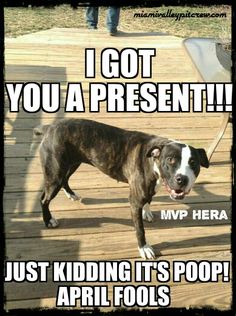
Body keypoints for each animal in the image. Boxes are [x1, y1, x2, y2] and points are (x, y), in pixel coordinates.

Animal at [34, 118, 209, 260]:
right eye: (171, 160)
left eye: (194, 163)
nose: (182, 179)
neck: (154, 159)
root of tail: (50, 127)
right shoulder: (135, 201)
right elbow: (140, 229)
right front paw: (144, 248)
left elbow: (149, 200)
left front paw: (147, 212)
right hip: (55, 173)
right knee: (44, 198)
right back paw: (48, 220)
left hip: (71, 163)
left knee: (65, 179)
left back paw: (71, 194)